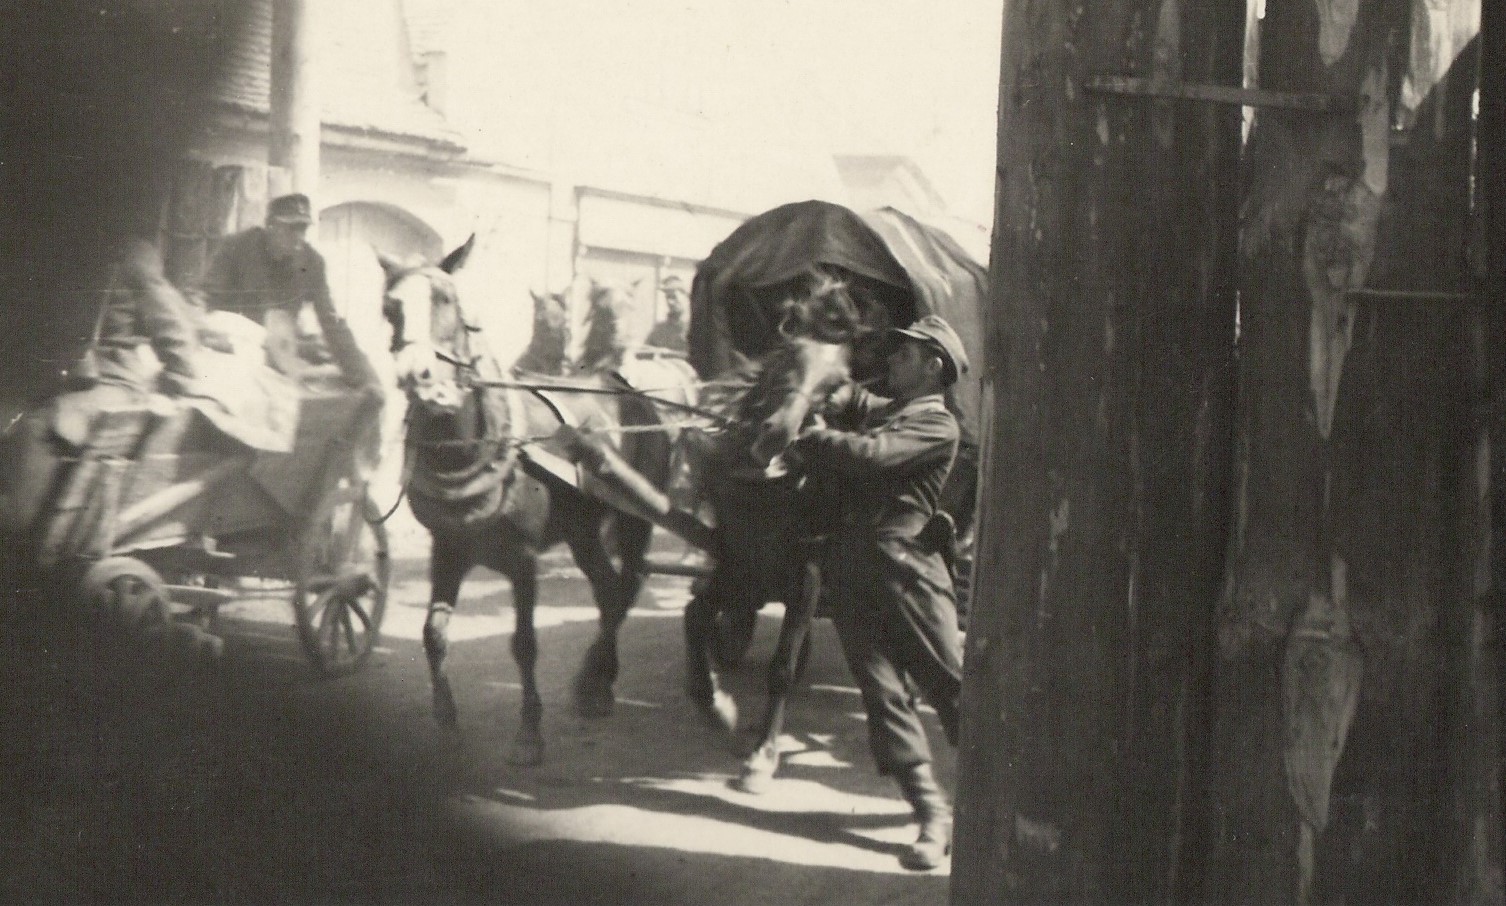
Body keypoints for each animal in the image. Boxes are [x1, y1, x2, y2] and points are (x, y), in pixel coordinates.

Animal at [377, 236, 673, 766]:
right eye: (390, 307)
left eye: (445, 300)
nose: (418, 376)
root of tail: (627, 387)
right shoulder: (447, 549)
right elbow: (433, 634)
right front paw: (445, 718)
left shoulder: (523, 558)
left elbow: (524, 644)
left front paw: (529, 734)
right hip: (581, 530)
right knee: (608, 591)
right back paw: (595, 684)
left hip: (635, 516)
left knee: (628, 586)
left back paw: (597, 680)